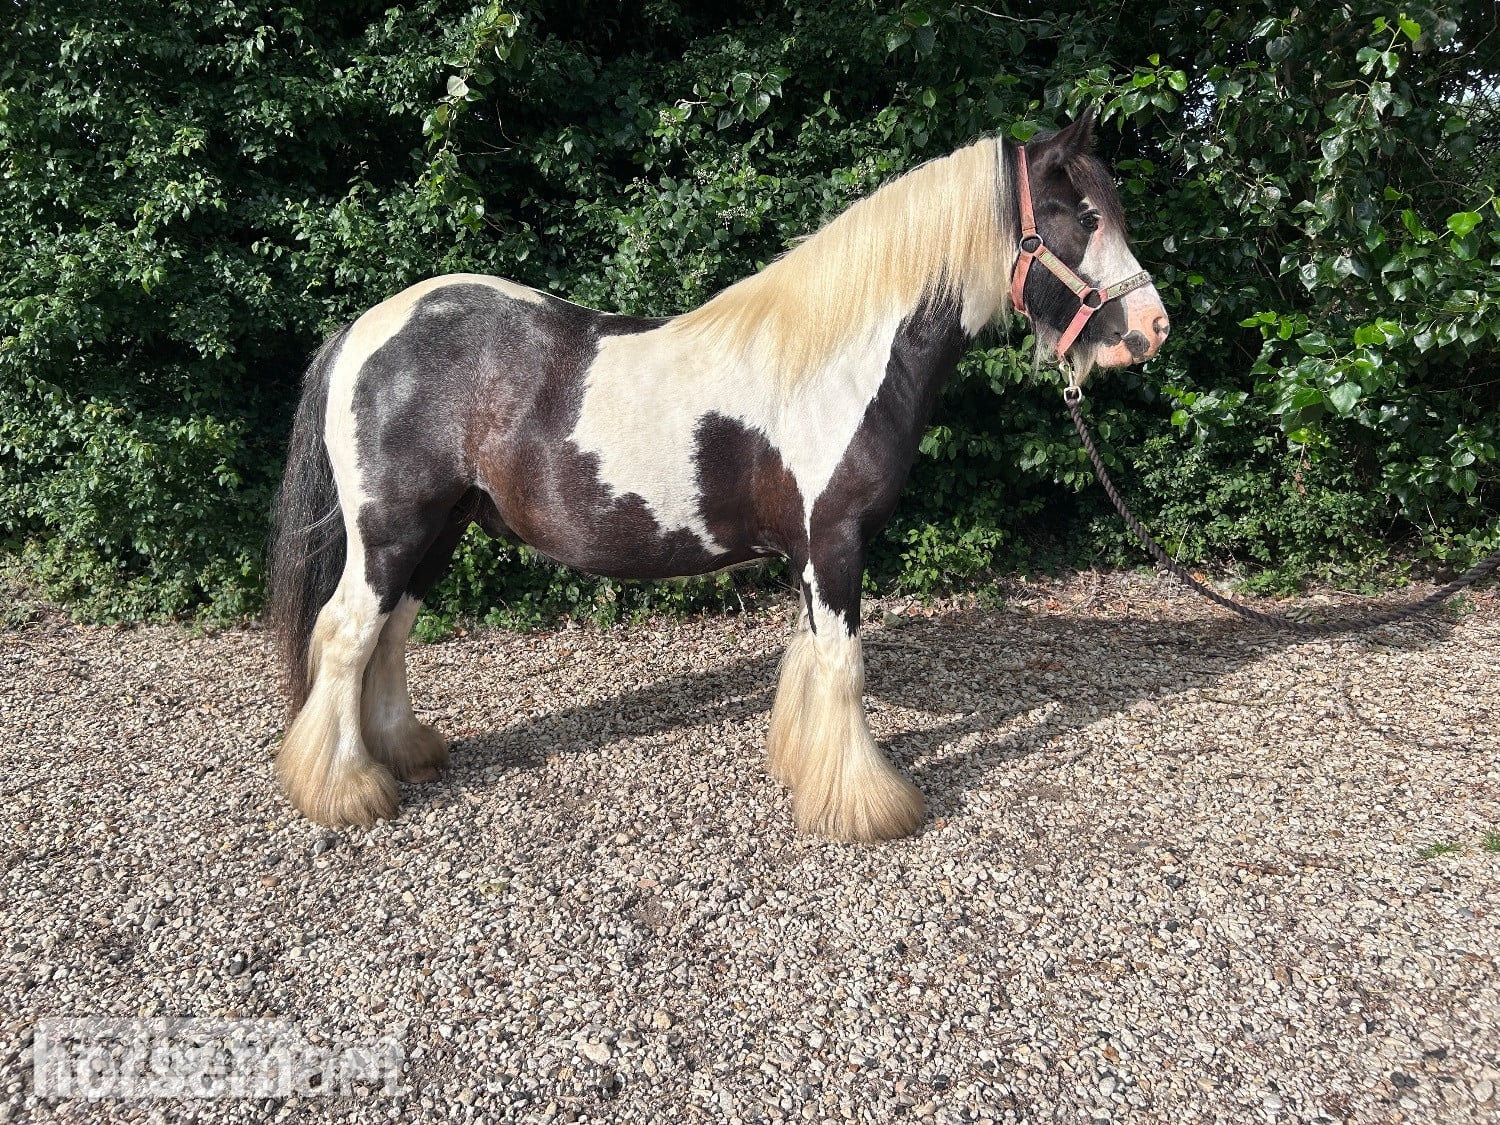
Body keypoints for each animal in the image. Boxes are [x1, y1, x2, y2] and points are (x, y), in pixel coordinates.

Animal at [266, 109, 1169, 843]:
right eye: (1084, 215)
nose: (1154, 329)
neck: (842, 362)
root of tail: (366, 328)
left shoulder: (812, 553)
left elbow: (811, 660)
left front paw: (808, 774)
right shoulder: (835, 543)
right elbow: (845, 666)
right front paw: (868, 806)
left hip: (440, 528)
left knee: (390, 636)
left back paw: (403, 753)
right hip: (391, 530)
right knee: (346, 635)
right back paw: (345, 790)